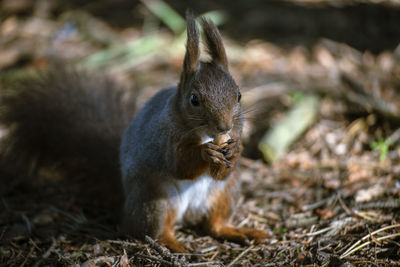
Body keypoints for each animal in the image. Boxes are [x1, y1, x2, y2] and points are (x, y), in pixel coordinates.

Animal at [0, 11, 270, 253]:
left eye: (239, 95)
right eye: (194, 99)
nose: (224, 127)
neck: (202, 132)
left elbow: (223, 171)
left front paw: (235, 149)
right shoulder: (165, 138)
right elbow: (179, 165)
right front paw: (206, 152)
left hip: (227, 192)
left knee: (214, 224)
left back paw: (240, 231)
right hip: (153, 200)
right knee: (151, 231)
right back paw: (173, 244)